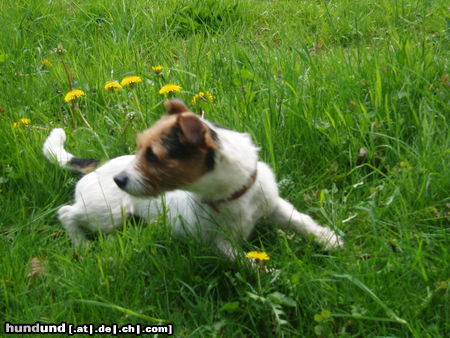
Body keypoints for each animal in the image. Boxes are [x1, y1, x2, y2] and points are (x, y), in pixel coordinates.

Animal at [43, 99, 344, 258]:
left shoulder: (275, 206)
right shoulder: (219, 243)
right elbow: (244, 262)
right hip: (107, 213)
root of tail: (98, 168)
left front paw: (331, 241)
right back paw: (81, 244)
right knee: (66, 212)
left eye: (152, 156)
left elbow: (303, 223)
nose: (120, 180)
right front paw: (266, 274)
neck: (232, 196)